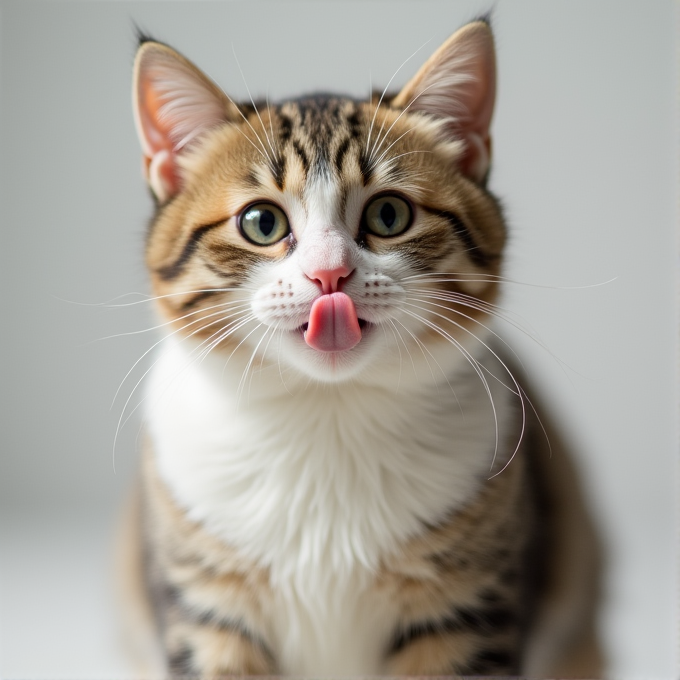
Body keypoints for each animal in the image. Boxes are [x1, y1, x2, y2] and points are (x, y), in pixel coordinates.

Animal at [119, 18, 604, 676]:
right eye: (262, 223)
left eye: (389, 214)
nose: (329, 275)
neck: (328, 412)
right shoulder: (205, 610)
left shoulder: (468, 612)